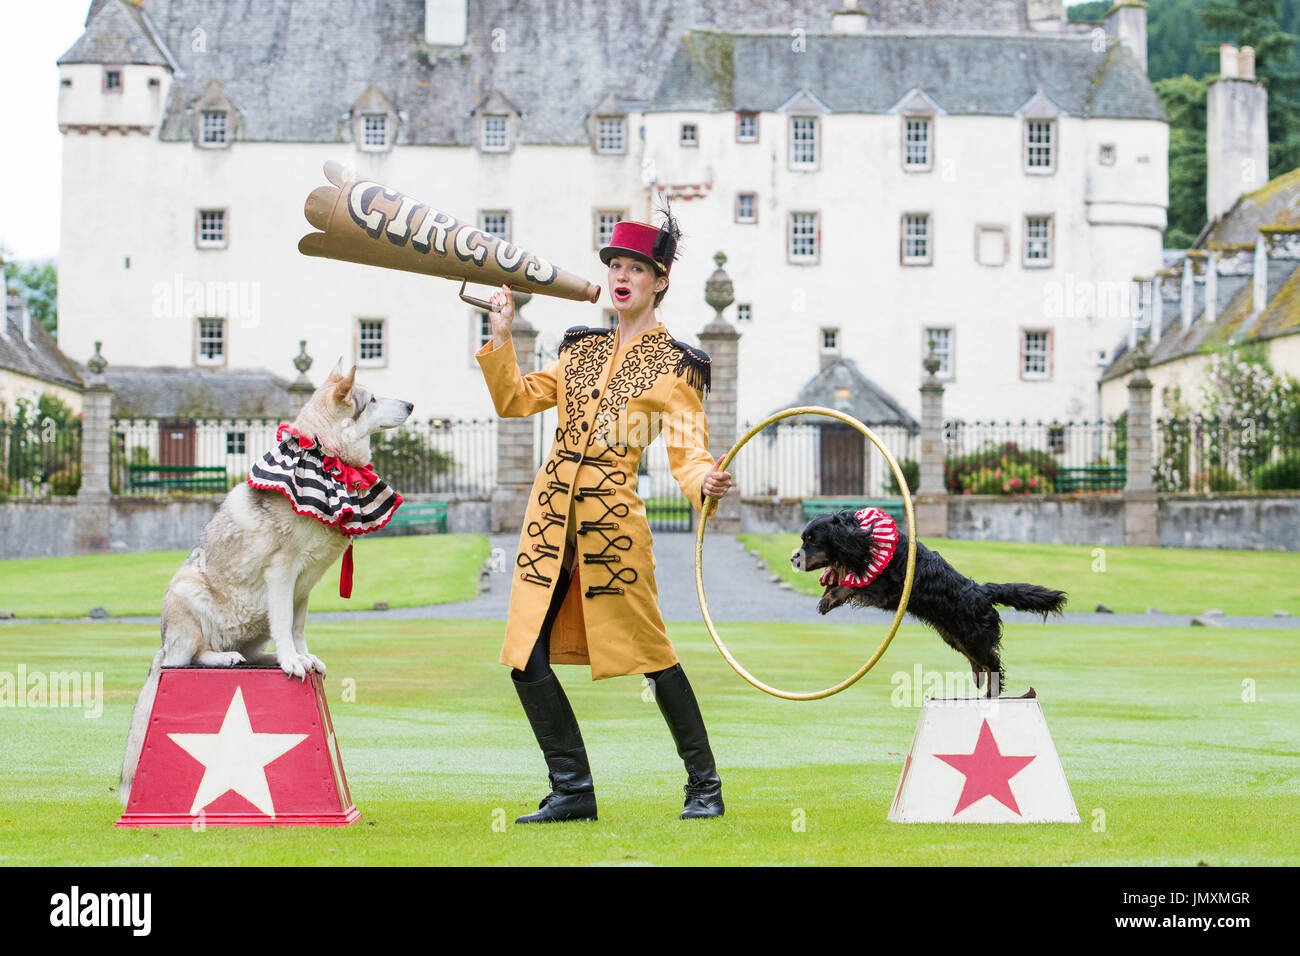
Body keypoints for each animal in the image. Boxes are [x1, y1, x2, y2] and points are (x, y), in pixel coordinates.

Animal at [120, 364, 410, 801]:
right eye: (372, 399)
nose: (411, 405)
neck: (325, 456)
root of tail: (162, 643)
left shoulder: (305, 585)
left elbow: (296, 627)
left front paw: (301, 658)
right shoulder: (283, 573)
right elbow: (286, 625)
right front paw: (291, 660)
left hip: (251, 628)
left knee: (251, 650)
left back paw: (265, 658)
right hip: (186, 599)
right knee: (187, 659)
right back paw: (224, 658)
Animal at [790, 512, 1066, 697]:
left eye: (812, 540)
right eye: (804, 539)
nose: (793, 558)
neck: (862, 538)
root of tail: (982, 590)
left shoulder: (884, 589)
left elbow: (851, 585)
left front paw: (829, 599)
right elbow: (842, 578)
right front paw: (828, 593)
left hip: (971, 635)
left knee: (993, 662)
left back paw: (992, 692)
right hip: (953, 635)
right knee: (981, 660)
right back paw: (978, 677)